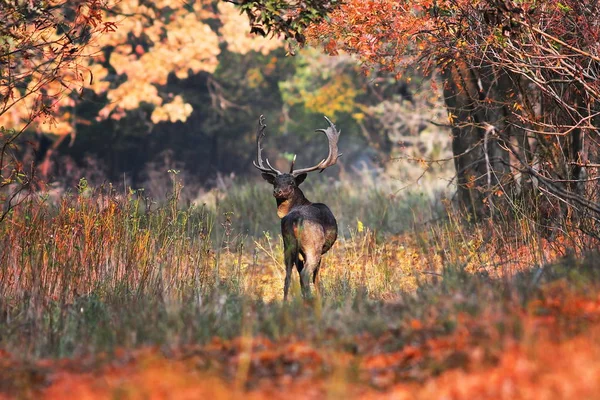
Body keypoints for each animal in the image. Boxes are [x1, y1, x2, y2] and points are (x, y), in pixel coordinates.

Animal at [253, 115, 342, 300]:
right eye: (275, 181)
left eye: (291, 182)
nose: (277, 191)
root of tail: (295, 220)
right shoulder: (321, 249)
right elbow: (316, 276)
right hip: (313, 245)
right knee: (305, 273)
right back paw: (309, 299)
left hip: (287, 244)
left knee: (287, 275)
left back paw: (287, 301)